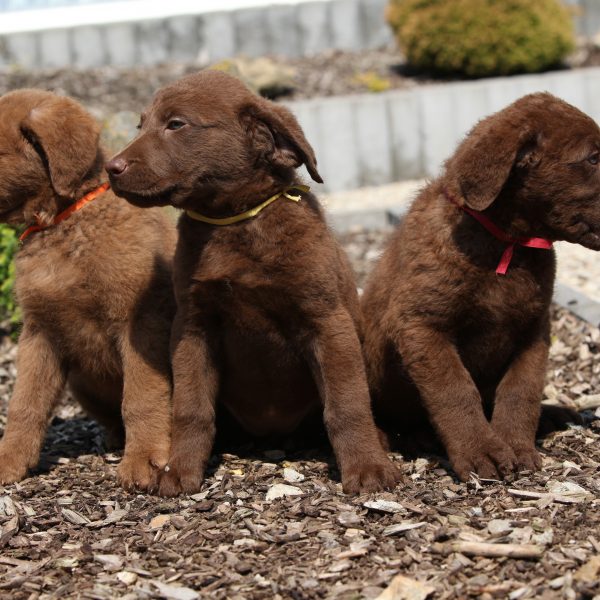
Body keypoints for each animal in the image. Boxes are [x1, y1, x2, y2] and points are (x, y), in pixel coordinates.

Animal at [0, 90, 176, 492]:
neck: (63, 224)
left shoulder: (139, 322)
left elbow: (141, 397)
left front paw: (143, 460)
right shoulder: (38, 333)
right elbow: (24, 405)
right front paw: (8, 460)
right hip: (82, 383)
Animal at [105, 68, 400, 494]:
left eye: (176, 124)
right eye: (141, 125)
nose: (110, 168)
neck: (235, 223)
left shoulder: (327, 320)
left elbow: (346, 404)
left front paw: (367, 467)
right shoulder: (193, 327)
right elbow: (191, 408)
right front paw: (180, 470)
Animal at [360, 92, 600, 482]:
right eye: (593, 158)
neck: (506, 244)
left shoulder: (534, 328)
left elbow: (521, 390)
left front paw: (516, 445)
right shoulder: (420, 325)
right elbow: (456, 390)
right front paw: (480, 451)